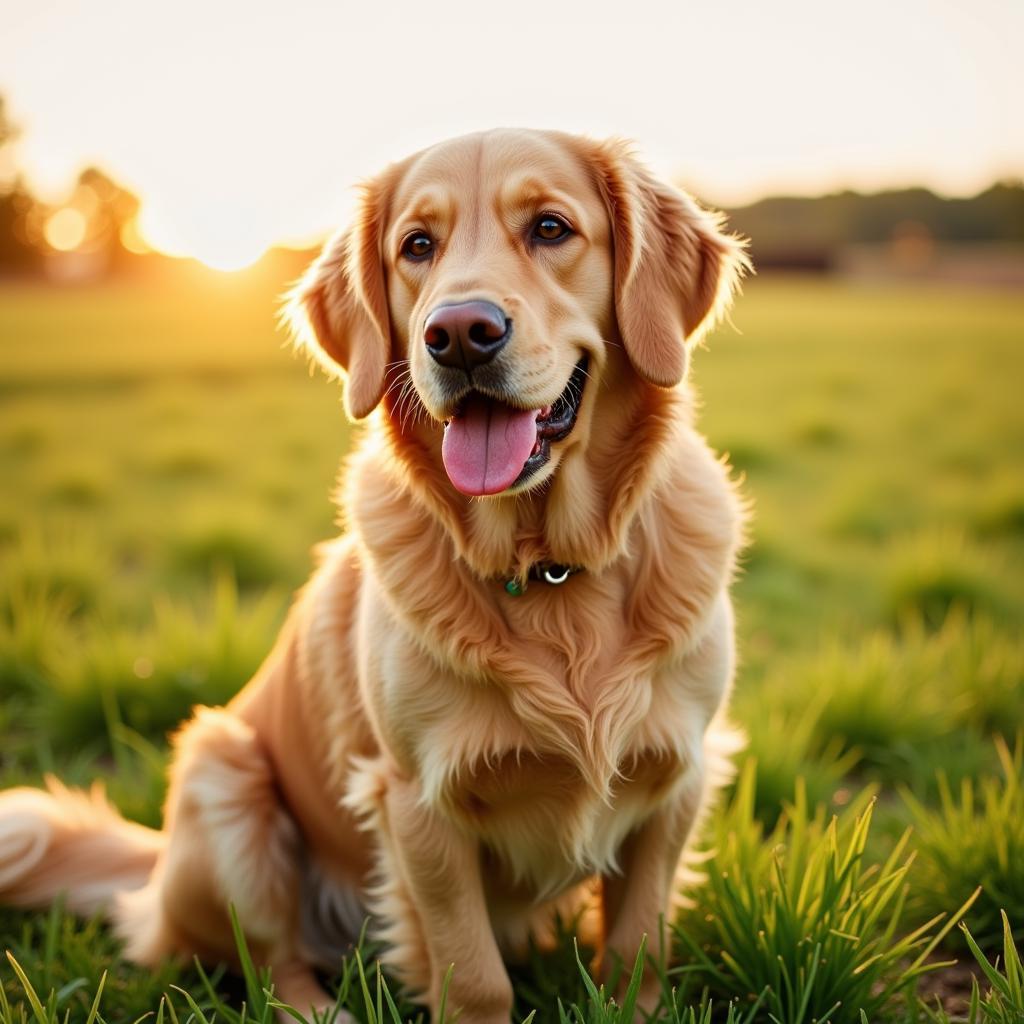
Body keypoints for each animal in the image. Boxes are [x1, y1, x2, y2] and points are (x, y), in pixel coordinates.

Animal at [2, 132, 753, 1019]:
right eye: (417, 246)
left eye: (551, 228)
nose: (460, 333)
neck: (550, 569)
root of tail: (151, 877)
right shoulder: (417, 800)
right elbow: (473, 976)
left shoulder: (676, 778)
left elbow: (638, 946)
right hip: (225, 777)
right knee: (273, 966)